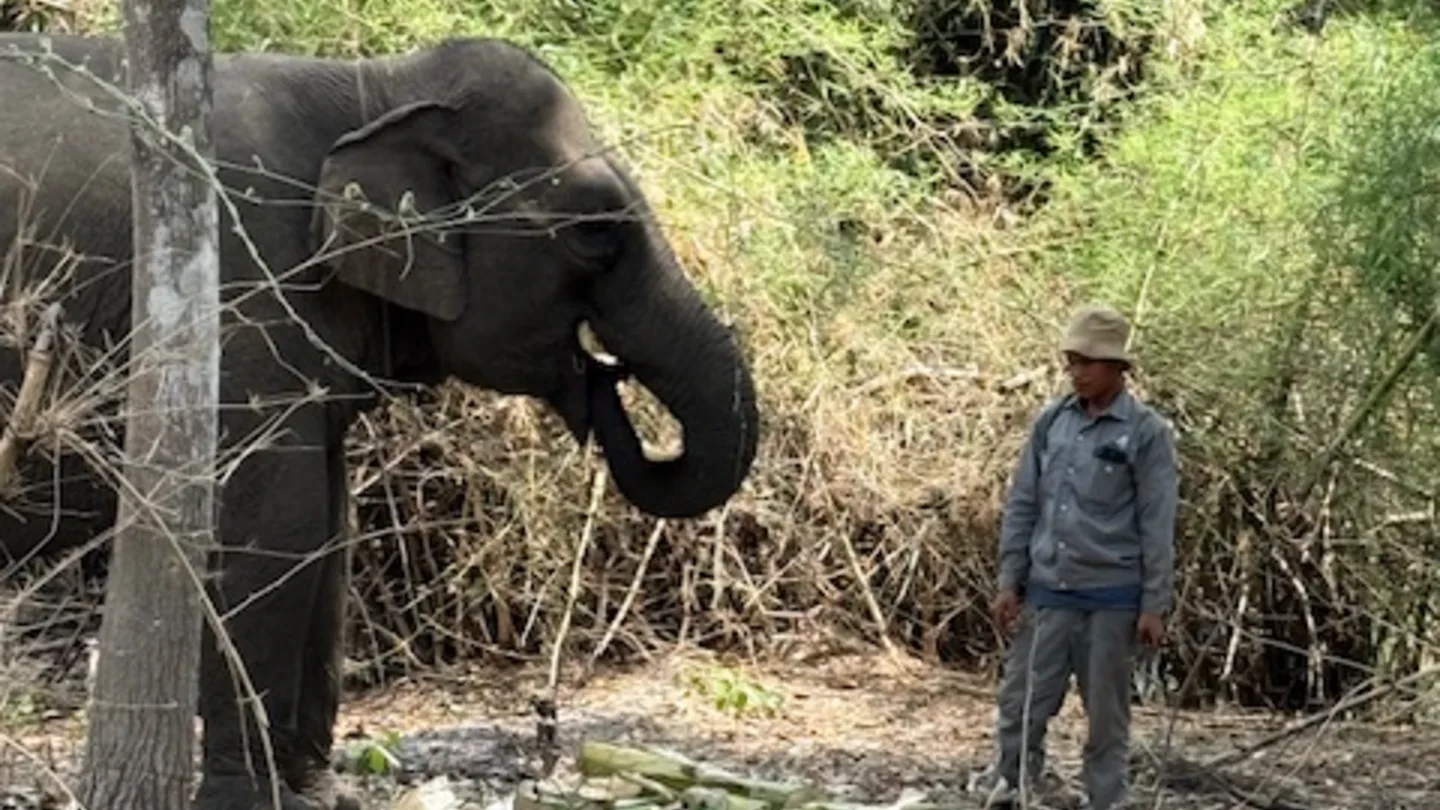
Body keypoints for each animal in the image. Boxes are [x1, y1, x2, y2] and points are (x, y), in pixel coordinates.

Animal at [0, 31, 758, 810]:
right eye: (594, 235)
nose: (607, 378)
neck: (375, 88)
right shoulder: (241, 288)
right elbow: (275, 523)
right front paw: (252, 800)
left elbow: (330, 527)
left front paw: (313, 795)